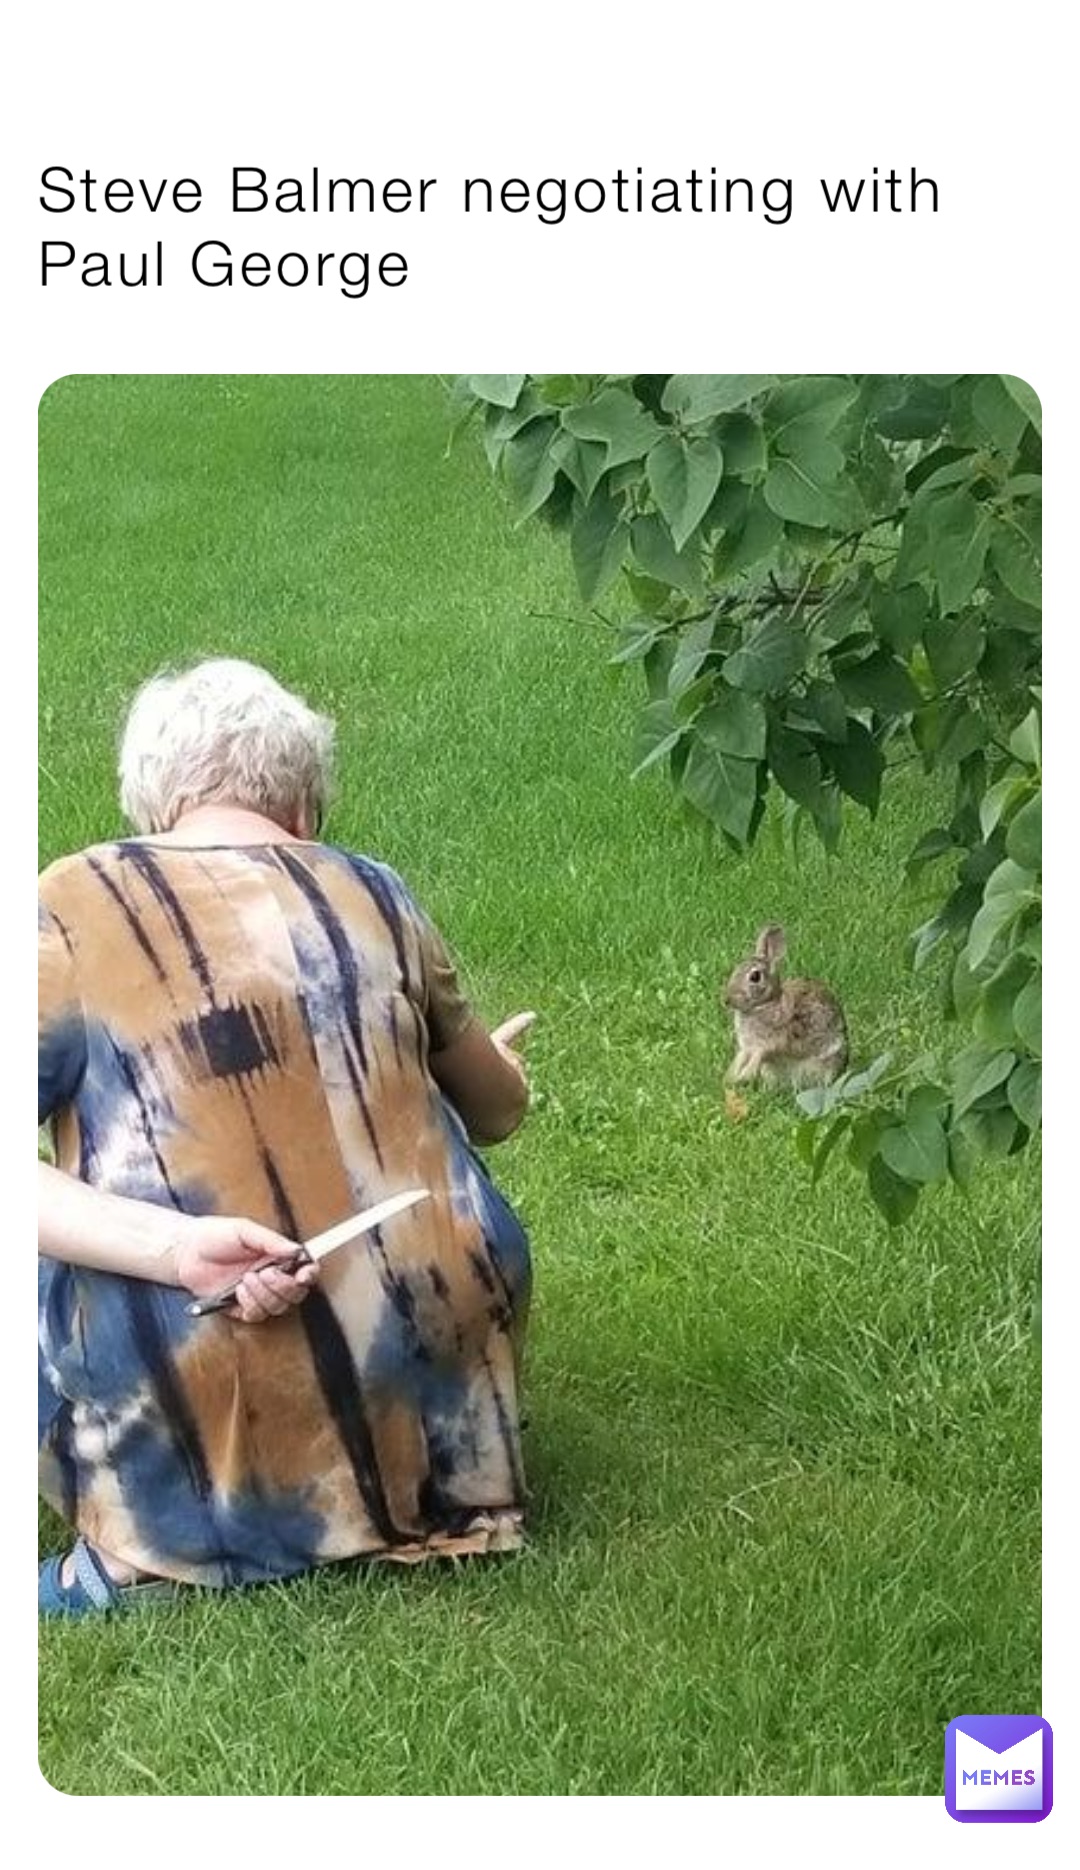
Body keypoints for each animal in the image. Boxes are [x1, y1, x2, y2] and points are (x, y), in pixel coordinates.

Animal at [717, 923, 844, 1092]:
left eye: (755, 977)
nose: (726, 1000)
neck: (764, 1004)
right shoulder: (747, 1047)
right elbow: (740, 1058)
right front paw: (729, 1078)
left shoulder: (770, 1043)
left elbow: (759, 1056)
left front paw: (744, 1076)